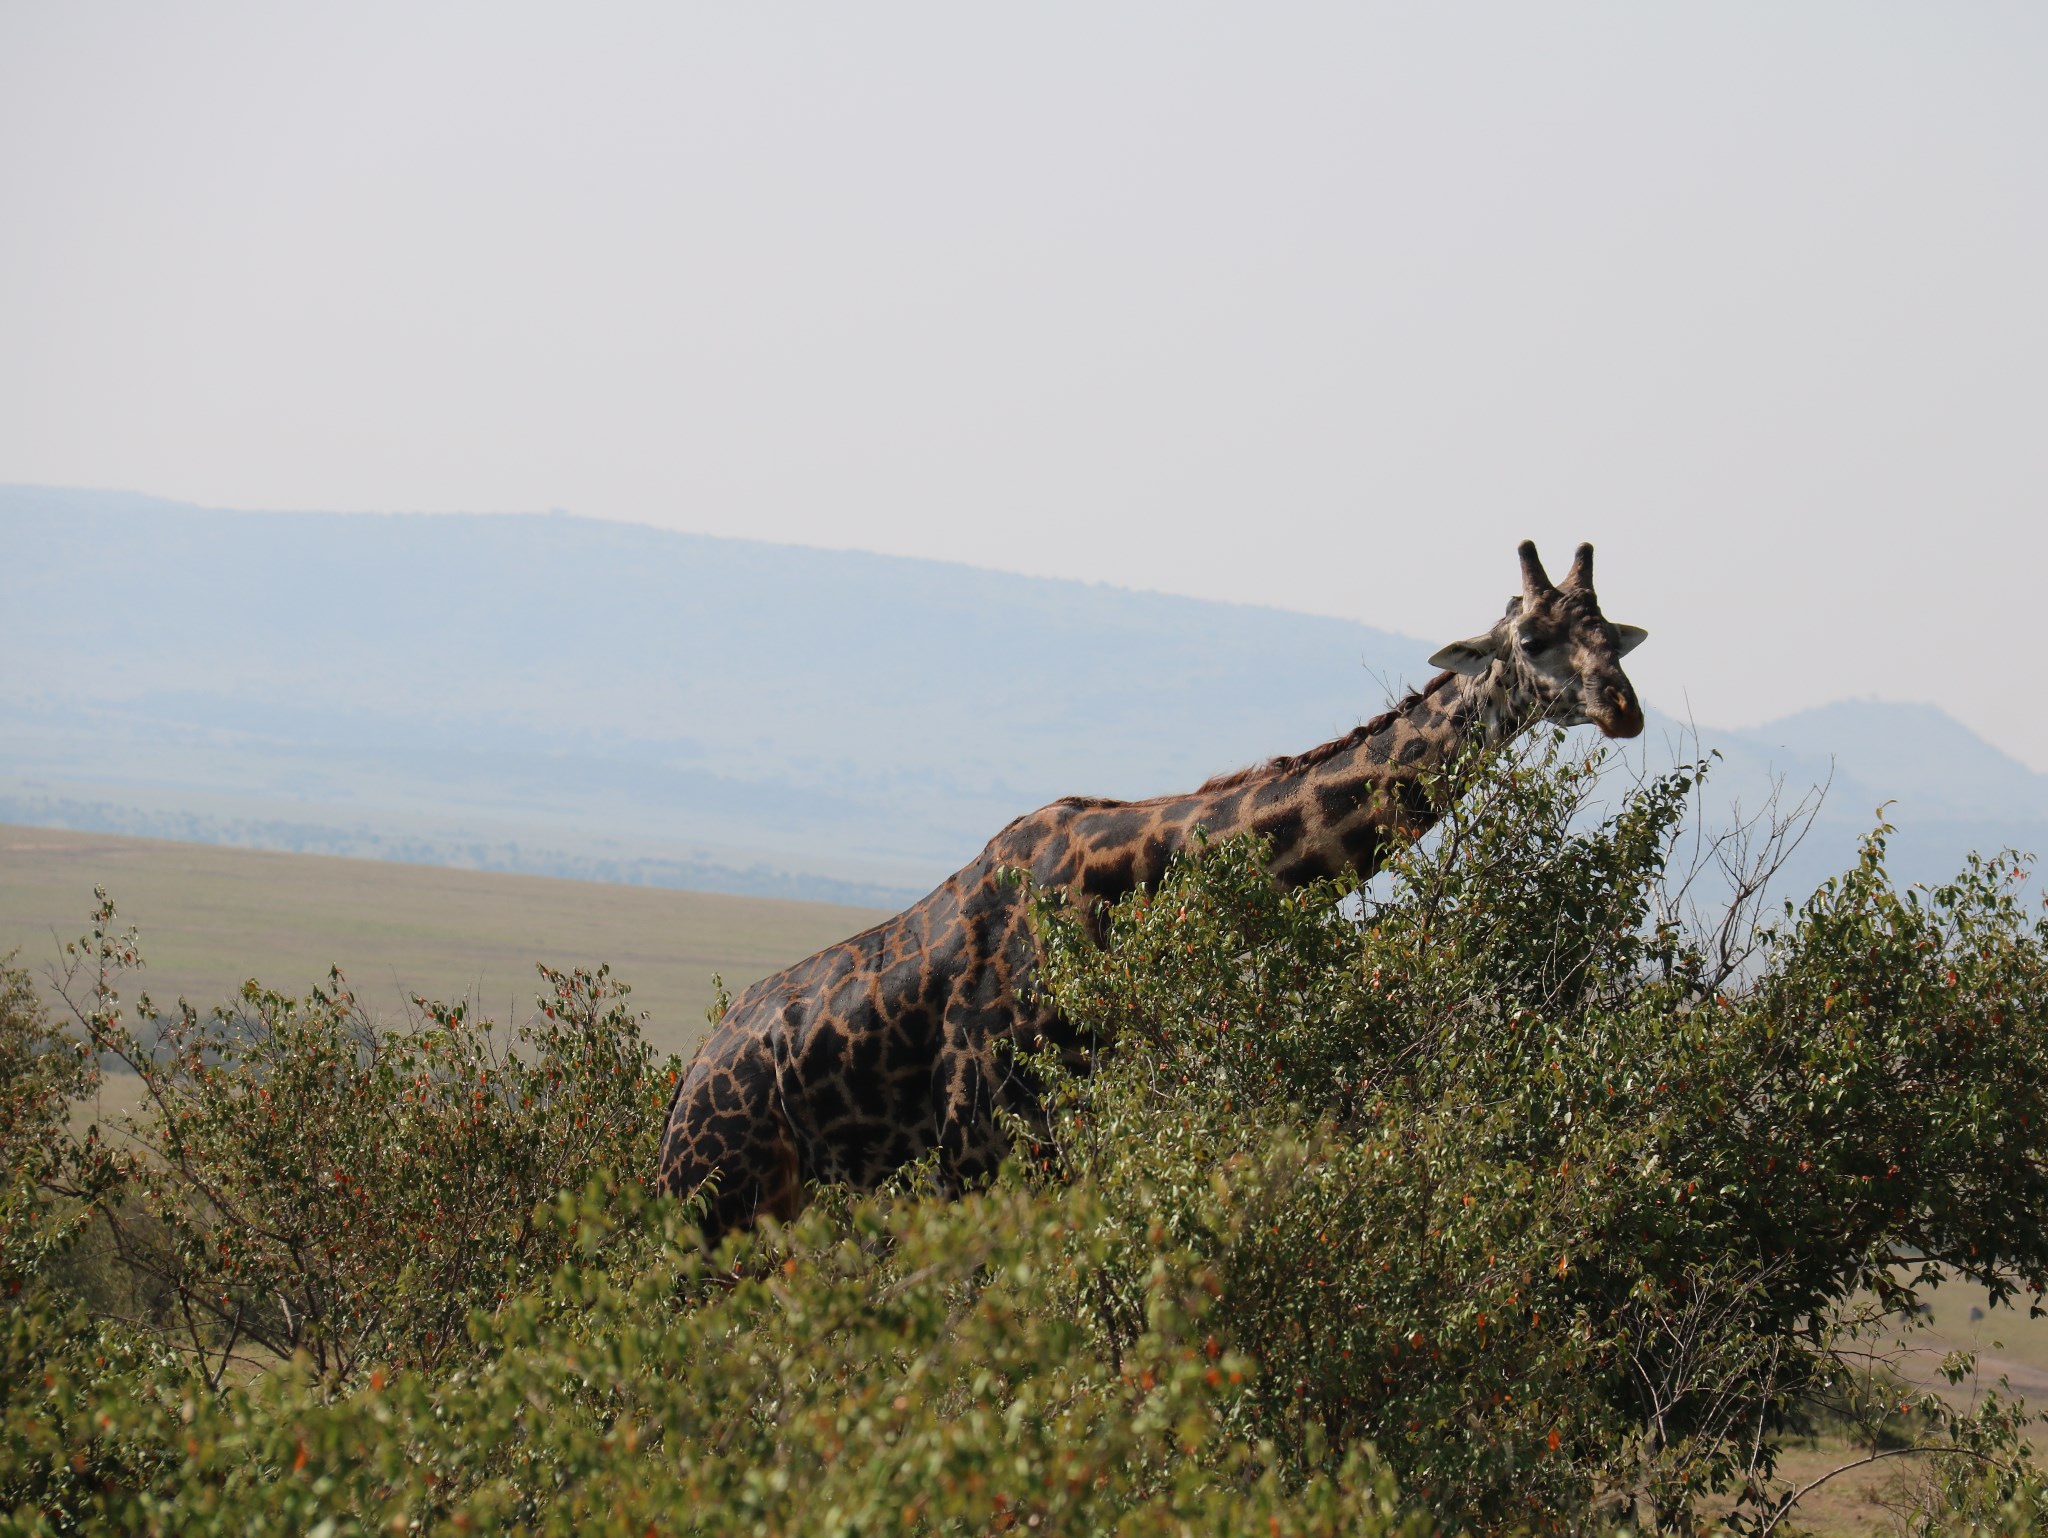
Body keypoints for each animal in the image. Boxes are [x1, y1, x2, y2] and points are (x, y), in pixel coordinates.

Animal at [655, 540, 1646, 1253]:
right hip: (713, 1207)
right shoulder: (980, 1147)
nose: (1623, 707)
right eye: (1530, 642)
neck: (1121, 890)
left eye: (1611, 633)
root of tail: (683, 1088)